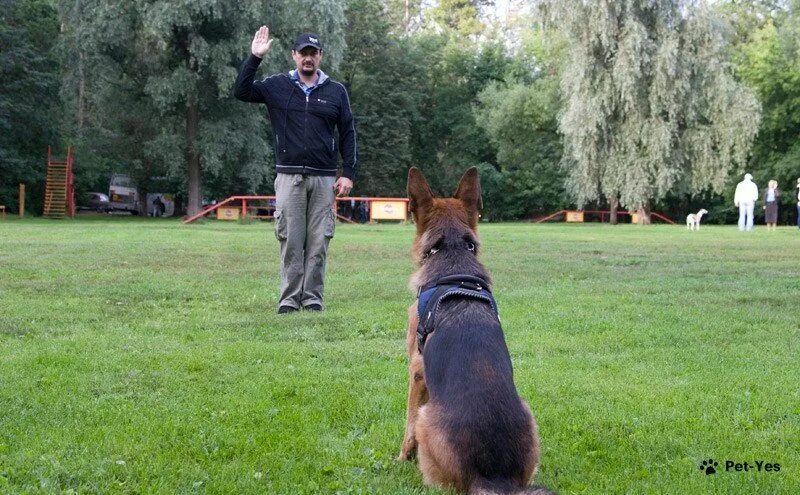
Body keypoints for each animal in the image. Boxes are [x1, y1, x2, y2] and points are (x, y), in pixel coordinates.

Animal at [398, 169, 552, 494]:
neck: (452, 250)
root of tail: (493, 475)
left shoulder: (416, 370)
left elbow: (407, 423)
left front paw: (403, 457)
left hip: (427, 420)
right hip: (529, 414)